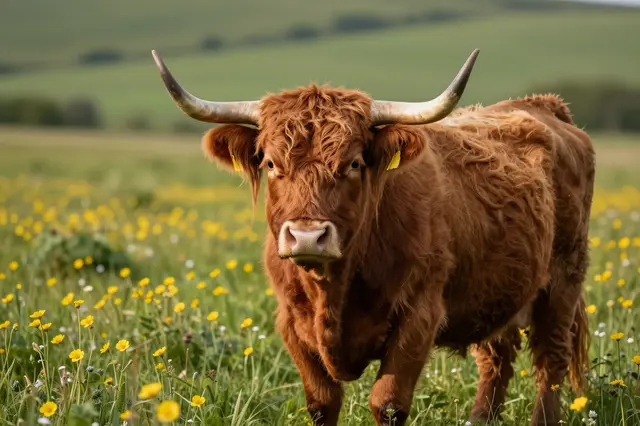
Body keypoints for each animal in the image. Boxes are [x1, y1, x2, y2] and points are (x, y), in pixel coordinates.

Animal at [150, 49, 594, 426]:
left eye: (353, 163)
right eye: (272, 163)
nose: (307, 237)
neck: (334, 291)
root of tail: (544, 106)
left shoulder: (419, 317)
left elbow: (389, 404)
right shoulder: (291, 323)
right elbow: (322, 403)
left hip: (564, 279)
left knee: (550, 361)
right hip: (499, 290)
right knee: (497, 359)